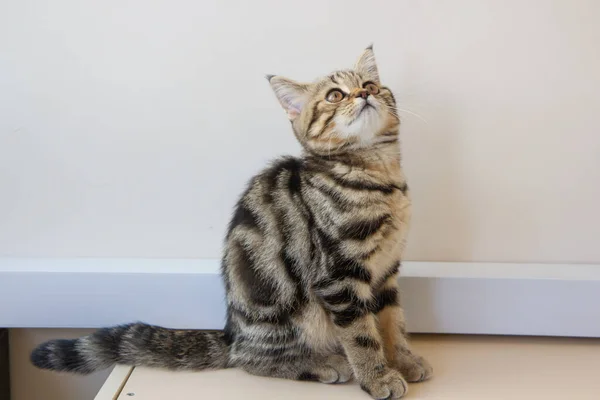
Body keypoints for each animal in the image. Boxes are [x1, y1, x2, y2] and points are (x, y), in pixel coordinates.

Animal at [30, 46, 432, 400]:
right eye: (335, 95)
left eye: (372, 85)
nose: (364, 94)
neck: (376, 175)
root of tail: (230, 332)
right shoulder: (339, 275)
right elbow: (362, 334)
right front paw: (377, 377)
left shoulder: (386, 269)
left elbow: (392, 320)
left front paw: (403, 360)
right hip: (290, 317)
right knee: (248, 359)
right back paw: (324, 363)